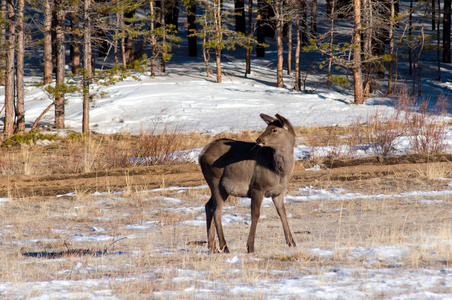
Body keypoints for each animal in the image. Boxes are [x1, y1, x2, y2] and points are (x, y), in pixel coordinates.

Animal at [199, 113, 296, 252]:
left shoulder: (278, 193)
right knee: (217, 210)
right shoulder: (257, 187)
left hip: (221, 188)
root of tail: (201, 155)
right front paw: (250, 246)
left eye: (274, 130)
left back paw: (212, 246)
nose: (258, 139)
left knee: (208, 205)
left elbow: (282, 213)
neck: (279, 172)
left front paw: (291, 242)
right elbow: (255, 214)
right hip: (215, 181)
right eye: (267, 127)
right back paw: (224, 246)